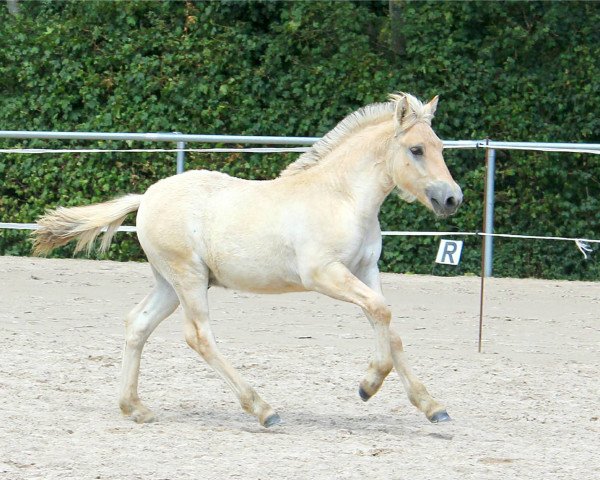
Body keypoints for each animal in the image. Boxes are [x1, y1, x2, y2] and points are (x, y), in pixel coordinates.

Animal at [32, 92, 464, 426]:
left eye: (441, 148)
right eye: (416, 149)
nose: (452, 198)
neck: (341, 197)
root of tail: (147, 197)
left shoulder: (365, 270)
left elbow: (388, 325)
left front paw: (432, 407)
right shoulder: (324, 274)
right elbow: (381, 313)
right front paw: (368, 385)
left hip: (170, 284)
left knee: (137, 324)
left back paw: (135, 408)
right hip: (188, 279)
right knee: (199, 336)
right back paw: (263, 409)